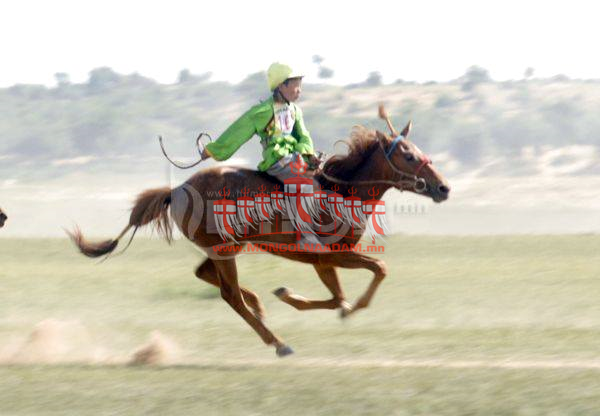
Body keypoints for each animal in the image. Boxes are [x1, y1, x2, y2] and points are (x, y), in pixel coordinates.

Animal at [69, 110, 450, 358]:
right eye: (408, 155)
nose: (444, 188)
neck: (341, 192)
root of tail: (176, 189)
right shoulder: (329, 255)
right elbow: (375, 272)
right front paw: (340, 307)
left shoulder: (322, 261)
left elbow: (337, 297)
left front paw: (291, 296)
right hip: (225, 252)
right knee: (229, 295)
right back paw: (278, 341)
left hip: (224, 249)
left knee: (208, 276)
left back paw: (258, 304)